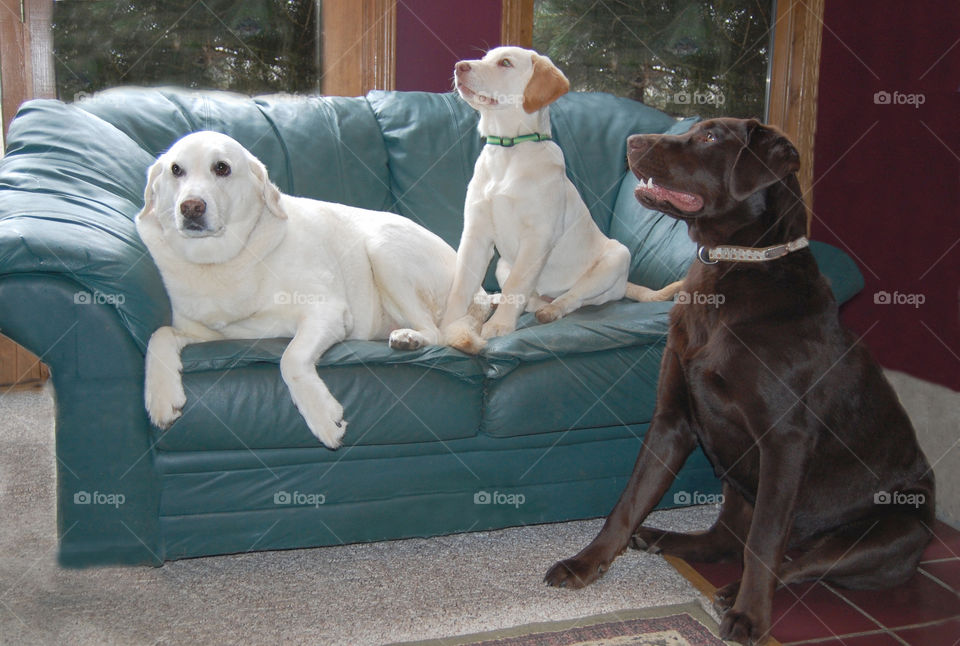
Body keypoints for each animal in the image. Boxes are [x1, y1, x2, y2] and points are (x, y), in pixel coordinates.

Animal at [138, 130, 484, 448]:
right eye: (176, 170)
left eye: (221, 168)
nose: (190, 207)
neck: (221, 260)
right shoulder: (200, 330)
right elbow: (159, 335)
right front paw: (160, 397)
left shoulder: (327, 311)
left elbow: (290, 358)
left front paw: (322, 415)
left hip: (382, 247)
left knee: (436, 332)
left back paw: (410, 337)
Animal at [442, 46, 684, 356]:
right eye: (485, 58)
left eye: (505, 63)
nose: (459, 66)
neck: (508, 151)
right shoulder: (476, 234)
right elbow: (462, 284)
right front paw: (447, 325)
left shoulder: (538, 237)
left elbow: (517, 285)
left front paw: (498, 326)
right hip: (502, 264)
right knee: (530, 297)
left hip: (617, 257)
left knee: (576, 297)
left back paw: (551, 310)